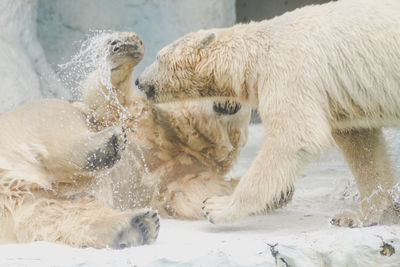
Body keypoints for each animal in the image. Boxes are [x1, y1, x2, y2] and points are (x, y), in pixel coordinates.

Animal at [79, 31, 253, 220]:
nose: (230, 100)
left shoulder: (189, 175)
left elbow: (197, 197)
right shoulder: (145, 121)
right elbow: (108, 102)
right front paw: (126, 46)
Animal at [137, 0, 400, 228]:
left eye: (158, 57)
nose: (139, 81)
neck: (257, 52)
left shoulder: (288, 71)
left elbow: (295, 137)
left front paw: (216, 207)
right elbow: (363, 147)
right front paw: (358, 215)